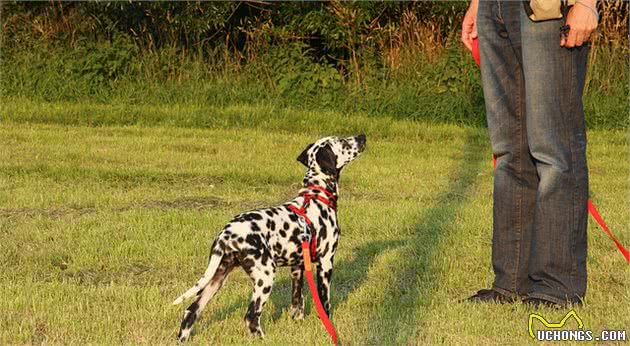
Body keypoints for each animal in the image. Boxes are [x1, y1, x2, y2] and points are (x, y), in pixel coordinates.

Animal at [175, 134, 368, 340]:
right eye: (343, 141)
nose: (362, 136)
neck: (316, 195)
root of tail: (227, 233)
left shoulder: (297, 267)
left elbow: (297, 303)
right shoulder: (325, 263)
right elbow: (324, 305)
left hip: (217, 278)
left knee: (190, 311)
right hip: (265, 277)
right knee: (251, 316)